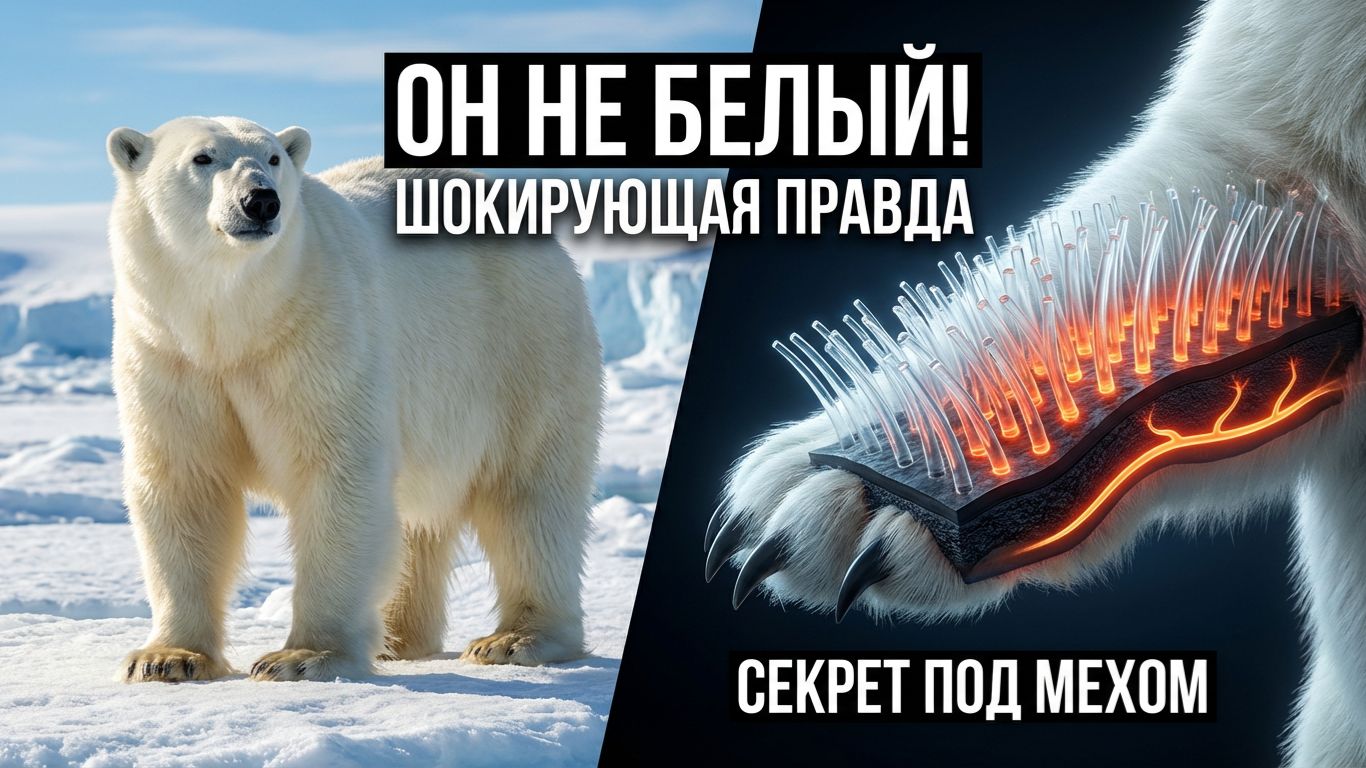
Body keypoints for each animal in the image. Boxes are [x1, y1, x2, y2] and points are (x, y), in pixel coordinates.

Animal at [105, 116, 603, 682]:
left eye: (273, 157)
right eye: (202, 158)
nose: (261, 201)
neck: (236, 324)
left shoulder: (319, 335)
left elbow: (336, 474)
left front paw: (302, 657)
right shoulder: (170, 355)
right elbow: (185, 483)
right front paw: (166, 658)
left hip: (523, 347)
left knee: (529, 495)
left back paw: (515, 639)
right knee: (420, 520)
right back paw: (398, 636)